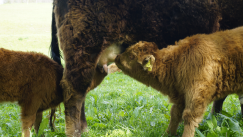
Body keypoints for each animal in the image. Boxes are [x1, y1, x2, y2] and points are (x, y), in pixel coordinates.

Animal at [50, 0, 221, 135]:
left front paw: (216, 120)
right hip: (84, 48)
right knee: (74, 91)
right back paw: (76, 132)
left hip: (95, 64)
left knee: (82, 91)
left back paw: (84, 128)